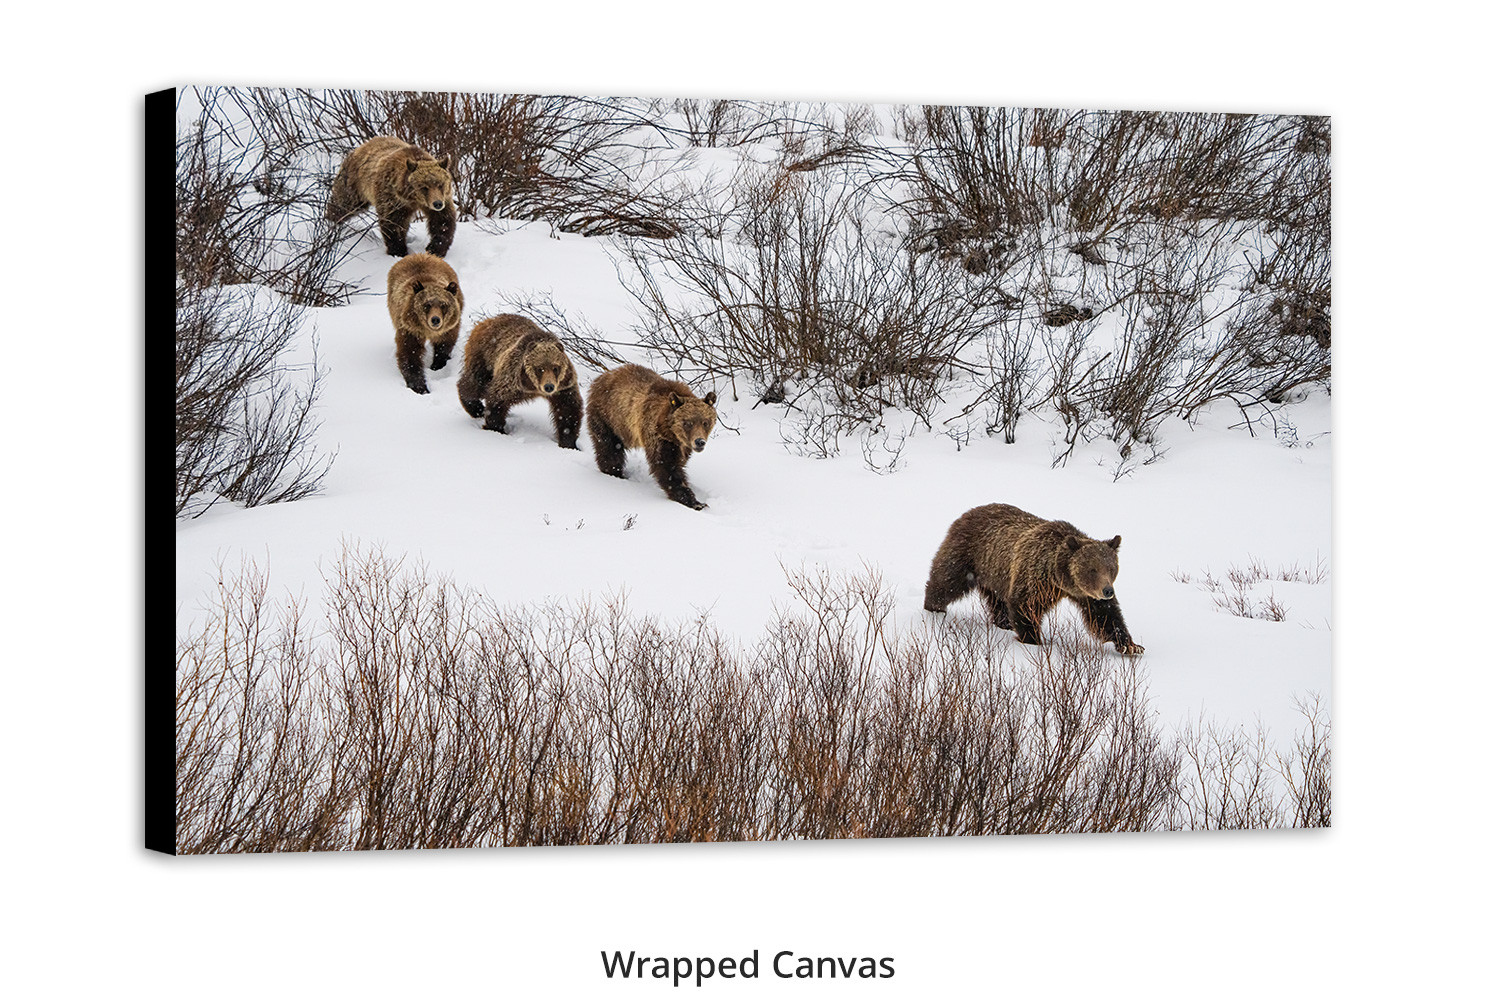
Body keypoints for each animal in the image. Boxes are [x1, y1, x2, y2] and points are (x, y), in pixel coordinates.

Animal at [325, 136, 457, 258]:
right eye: (424, 187)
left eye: (440, 184)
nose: (437, 203)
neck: (413, 199)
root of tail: (360, 147)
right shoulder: (392, 197)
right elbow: (393, 223)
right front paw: (399, 250)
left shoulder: (442, 199)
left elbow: (442, 220)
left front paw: (435, 248)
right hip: (354, 184)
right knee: (344, 204)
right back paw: (331, 222)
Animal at [386, 253, 464, 394]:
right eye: (427, 305)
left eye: (443, 304)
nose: (435, 319)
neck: (427, 331)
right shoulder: (410, 329)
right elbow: (409, 354)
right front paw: (420, 387)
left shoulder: (449, 328)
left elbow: (444, 345)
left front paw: (437, 365)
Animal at [456, 314, 583, 449]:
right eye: (540, 368)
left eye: (555, 368)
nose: (549, 386)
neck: (533, 387)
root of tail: (486, 321)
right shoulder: (512, 378)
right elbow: (497, 398)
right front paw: (496, 429)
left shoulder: (564, 386)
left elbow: (568, 409)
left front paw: (568, 442)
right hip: (484, 357)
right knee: (475, 384)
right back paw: (475, 408)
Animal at [585, 364, 718, 510]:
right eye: (688, 423)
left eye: (705, 422)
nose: (700, 442)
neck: (671, 433)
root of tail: (601, 377)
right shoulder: (657, 435)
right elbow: (667, 467)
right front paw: (694, 501)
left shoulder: (682, 445)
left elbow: (679, 462)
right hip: (608, 417)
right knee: (609, 448)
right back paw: (614, 472)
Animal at [923, 503, 1144, 654]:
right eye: (1092, 569)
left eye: (1112, 568)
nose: (1108, 591)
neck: (1059, 576)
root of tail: (967, 512)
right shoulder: (1036, 576)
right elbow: (1025, 604)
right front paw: (1034, 640)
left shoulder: (1085, 594)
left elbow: (1105, 616)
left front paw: (1130, 645)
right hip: (968, 554)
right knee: (947, 581)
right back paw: (934, 608)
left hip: (997, 573)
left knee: (998, 600)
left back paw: (1003, 622)